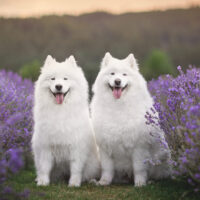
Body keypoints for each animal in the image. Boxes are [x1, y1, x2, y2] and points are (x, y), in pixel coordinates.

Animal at [32, 54, 100, 186]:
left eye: (65, 79)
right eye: (52, 79)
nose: (58, 86)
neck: (60, 110)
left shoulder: (76, 147)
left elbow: (76, 168)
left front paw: (74, 183)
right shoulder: (45, 146)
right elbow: (44, 167)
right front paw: (43, 182)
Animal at [90, 52, 170, 187]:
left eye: (124, 74)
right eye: (112, 73)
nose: (117, 81)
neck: (118, 105)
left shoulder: (139, 147)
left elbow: (139, 168)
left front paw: (140, 183)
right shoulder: (105, 147)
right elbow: (107, 169)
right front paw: (104, 182)